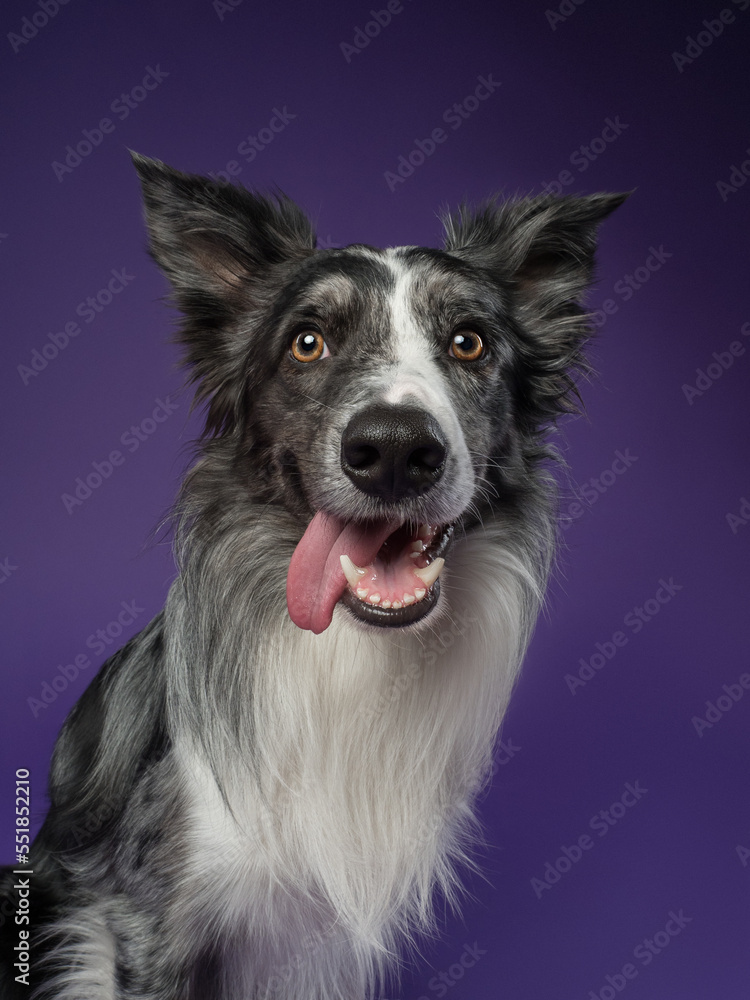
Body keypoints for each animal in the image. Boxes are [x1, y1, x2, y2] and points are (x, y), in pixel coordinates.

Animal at [0, 152, 628, 996]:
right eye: (307, 343)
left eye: (469, 342)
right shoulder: (145, 922)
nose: (394, 449)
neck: (350, 653)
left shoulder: (325, 945)